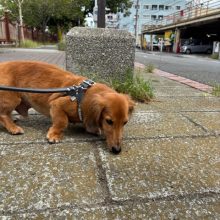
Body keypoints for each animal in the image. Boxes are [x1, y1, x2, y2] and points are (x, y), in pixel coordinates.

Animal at [0, 60, 134, 153]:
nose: (117, 150)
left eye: (125, 122)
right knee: (3, 114)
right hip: (12, 97)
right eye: (109, 121)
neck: (84, 93)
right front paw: (54, 135)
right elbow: (62, 122)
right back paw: (13, 128)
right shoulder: (56, 105)